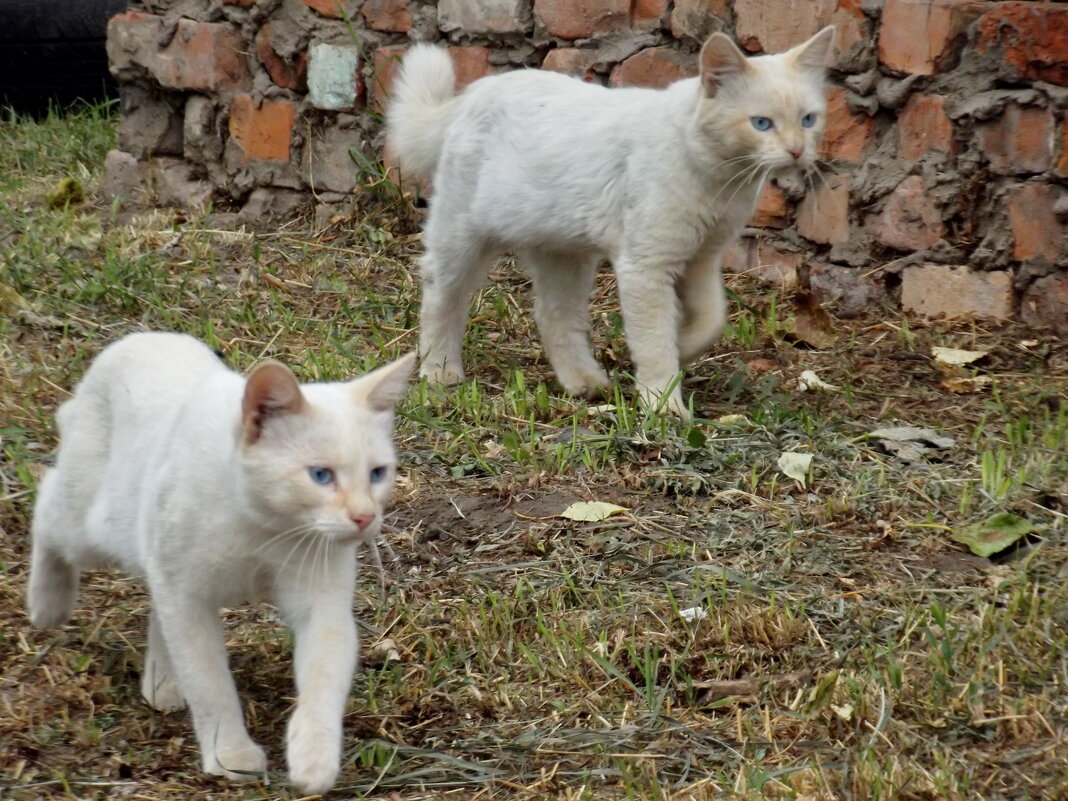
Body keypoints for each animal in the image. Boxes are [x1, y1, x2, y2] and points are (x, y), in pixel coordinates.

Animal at [28, 333, 412, 798]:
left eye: (377, 474)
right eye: (321, 476)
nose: (364, 517)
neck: (265, 528)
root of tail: (143, 336)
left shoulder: (322, 608)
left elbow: (324, 683)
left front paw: (313, 760)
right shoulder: (187, 599)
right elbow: (210, 685)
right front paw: (230, 756)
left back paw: (161, 684)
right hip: (94, 529)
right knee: (48, 501)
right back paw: (47, 605)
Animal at [388, 28, 837, 416]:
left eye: (809, 120)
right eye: (762, 123)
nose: (797, 151)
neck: (721, 181)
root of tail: (475, 91)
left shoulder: (702, 260)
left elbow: (712, 318)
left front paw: (684, 346)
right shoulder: (646, 267)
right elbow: (654, 343)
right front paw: (663, 406)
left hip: (563, 254)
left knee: (553, 316)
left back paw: (584, 383)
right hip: (462, 236)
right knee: (440, 299)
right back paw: (439, 371)